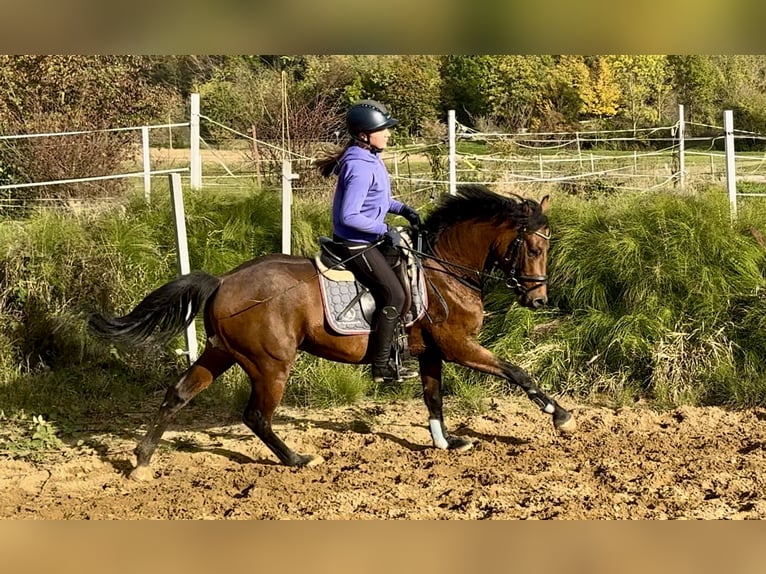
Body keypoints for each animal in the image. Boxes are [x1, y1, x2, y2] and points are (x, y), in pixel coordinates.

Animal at [88, 184, 576, 482]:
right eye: (534, 247)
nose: (538, 300)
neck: (445, 267)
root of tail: (223, 281)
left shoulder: (432, 352)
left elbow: (434, 398)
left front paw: (446, 442)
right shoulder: (459, 346)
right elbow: (517, 372)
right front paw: (561, 415)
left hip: (221, 352)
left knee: (179, 394)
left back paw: (142, 461)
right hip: (270, 364)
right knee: (256, 416)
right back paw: (297, 459)